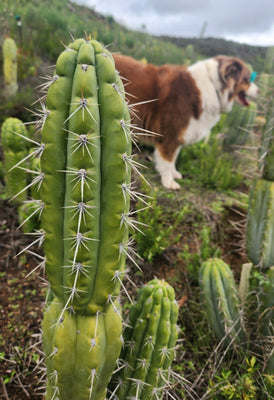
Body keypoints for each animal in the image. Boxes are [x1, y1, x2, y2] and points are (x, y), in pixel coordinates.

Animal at [112, 53, 258, 189]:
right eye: (246, 79)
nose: (259, 90)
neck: (213, 86)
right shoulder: (170, 134)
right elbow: (167, 159)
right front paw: (168, 181)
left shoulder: (181, 134)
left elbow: (174, 157)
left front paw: (174, 173)